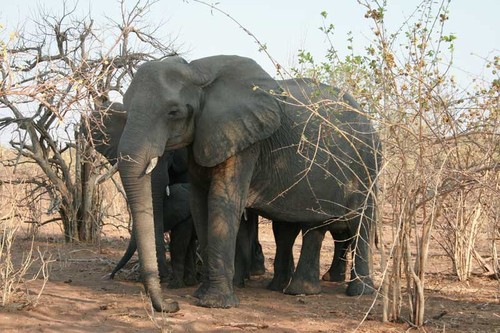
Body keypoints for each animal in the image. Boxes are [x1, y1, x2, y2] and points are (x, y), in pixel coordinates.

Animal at [116, 55, 378, 312]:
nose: (173, 304)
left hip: (367, 163)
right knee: (310, 224)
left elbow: (222, 201)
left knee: (360, 220)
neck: (197, 72)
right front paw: (201, 295)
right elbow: (199, 203)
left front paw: (215, 304)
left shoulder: (243, 139)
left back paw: (359, 292)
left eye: (173, 112)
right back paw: (297, 290)